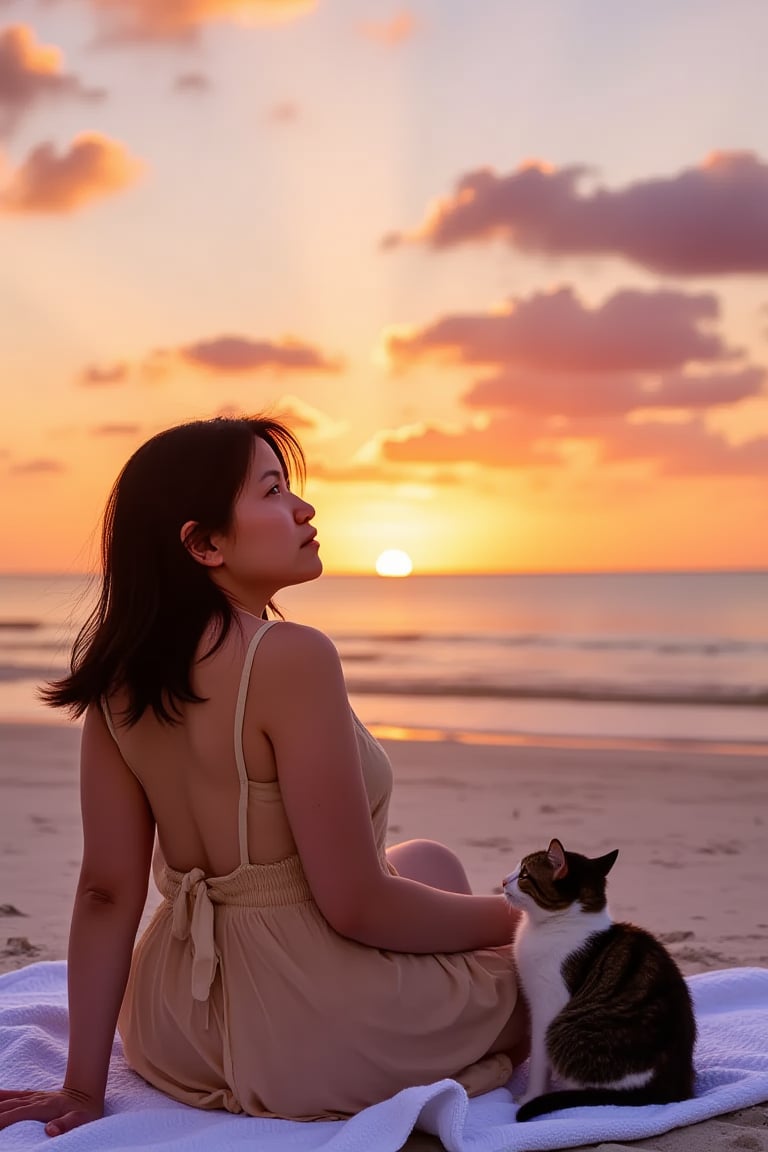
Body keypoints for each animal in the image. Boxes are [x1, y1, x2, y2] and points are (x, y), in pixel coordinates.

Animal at [504, 838, 695, 1124]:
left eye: (524, 874)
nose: (504, 881)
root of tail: (666, 1087)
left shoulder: (547, 1002)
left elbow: (538, 1060)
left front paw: (530, 1096)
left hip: (564, 1032)